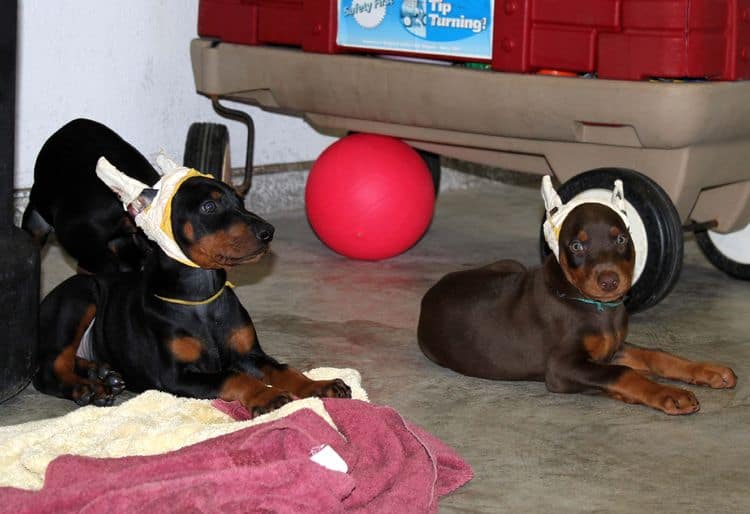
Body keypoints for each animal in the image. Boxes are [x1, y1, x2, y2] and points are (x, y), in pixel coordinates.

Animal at [33, 125, 352, 416]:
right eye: (209, 207)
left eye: (240, 200)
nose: (268, 232)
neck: (201, 294)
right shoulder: (174, 375)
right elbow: (233, 376)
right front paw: (266, 395)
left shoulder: (249, 354)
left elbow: (284, 369)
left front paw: (318, 385)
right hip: (78, 300)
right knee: (47, 372)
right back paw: (88, 387)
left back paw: (102, 373)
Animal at [420, 194, 736, 414]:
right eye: (576, 246)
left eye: (621, 239)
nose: (609, 281)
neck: (596, 306)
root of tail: (429, 295)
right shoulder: (561, 368)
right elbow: (622, 372)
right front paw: (669, 394)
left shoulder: (613, 348)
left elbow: (657, 355)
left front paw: (707, 370)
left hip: (510, 265)